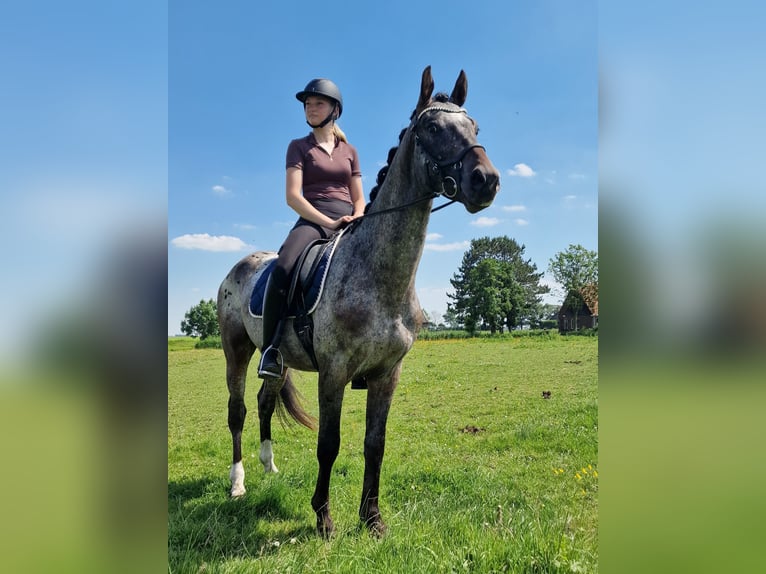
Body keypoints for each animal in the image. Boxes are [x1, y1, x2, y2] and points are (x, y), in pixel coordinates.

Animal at [218, 67, 504, 540]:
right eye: (432, 127)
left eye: (475, 128)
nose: (487, 180)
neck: (378, 278)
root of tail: (240, 266)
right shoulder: (333, 373)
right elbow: (329, 444)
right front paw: (324, 518)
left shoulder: (387, 374)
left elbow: (375, 444)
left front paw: (372, 518)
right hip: (236, 350)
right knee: (238, 409)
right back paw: (238, 482)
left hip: (275, 358)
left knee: (263, 400)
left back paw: (269, 466)